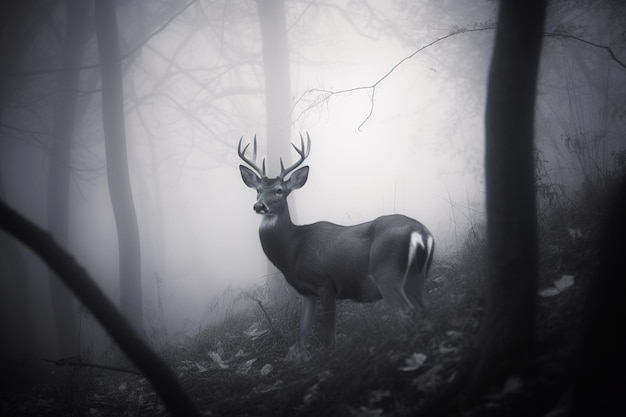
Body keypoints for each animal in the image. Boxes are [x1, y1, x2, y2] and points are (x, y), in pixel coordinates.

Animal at [239, 134, 434, 360]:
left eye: (279, 191)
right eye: (258, 190)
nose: (259, 206)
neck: (293, 249)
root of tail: (422, 234)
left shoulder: (325, 283)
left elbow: (329, 337)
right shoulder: (306, 291)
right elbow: (302, 333)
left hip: (387, 273)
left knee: (408, 313)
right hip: (416, 277)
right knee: (423, 310)